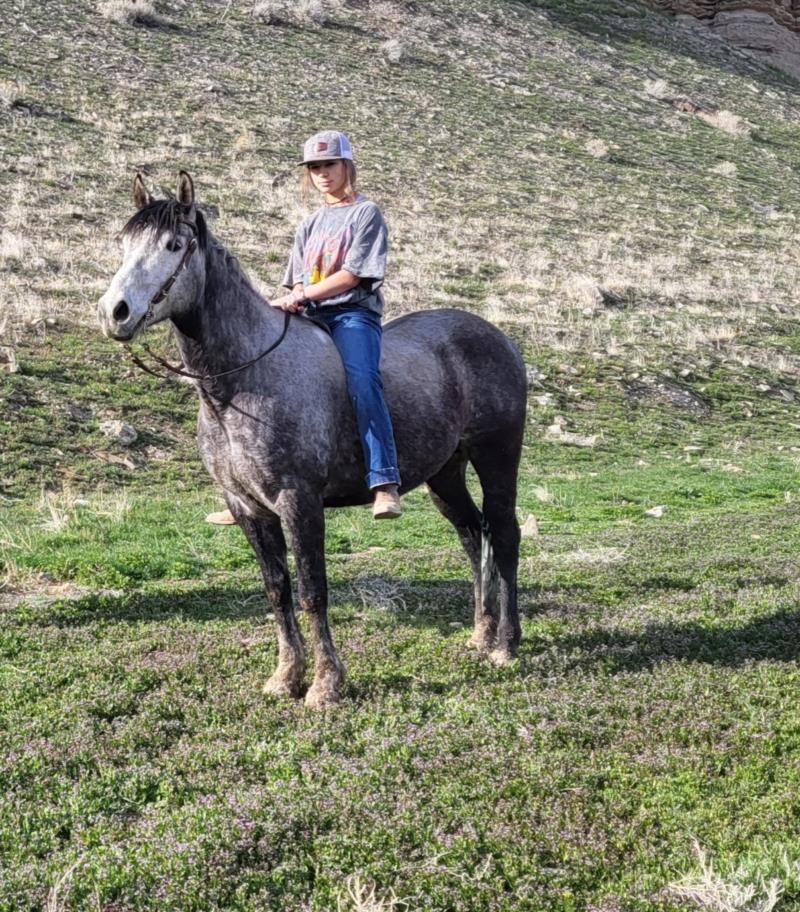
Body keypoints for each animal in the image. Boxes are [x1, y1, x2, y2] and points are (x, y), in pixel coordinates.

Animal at [98, 171, 528, 708]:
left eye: (174, 245)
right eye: (124, 243)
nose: (114, 312)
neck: (244, 380)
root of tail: (500, 338)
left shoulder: (298, 502)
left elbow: (311, 591)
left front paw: (325, 684)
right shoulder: (248, 508)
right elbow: (277, 590)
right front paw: (286, 676)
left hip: (496, 458)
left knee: (504, 534)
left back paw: (506, 645)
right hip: (446, 474)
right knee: (473, 536)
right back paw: (481, 634)